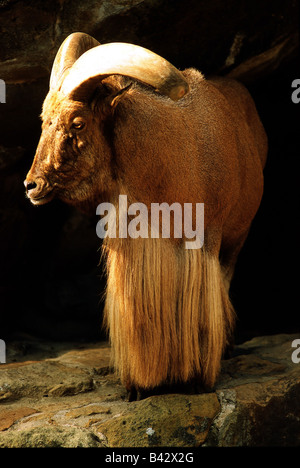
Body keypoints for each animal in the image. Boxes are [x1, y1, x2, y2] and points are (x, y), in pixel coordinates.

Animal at [24, 32, 268, 398]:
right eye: (44, 121)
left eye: (78, 122)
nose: (32, 185)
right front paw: (138, 388)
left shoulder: (205, 242)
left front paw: (198, 381)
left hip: (238, 237)